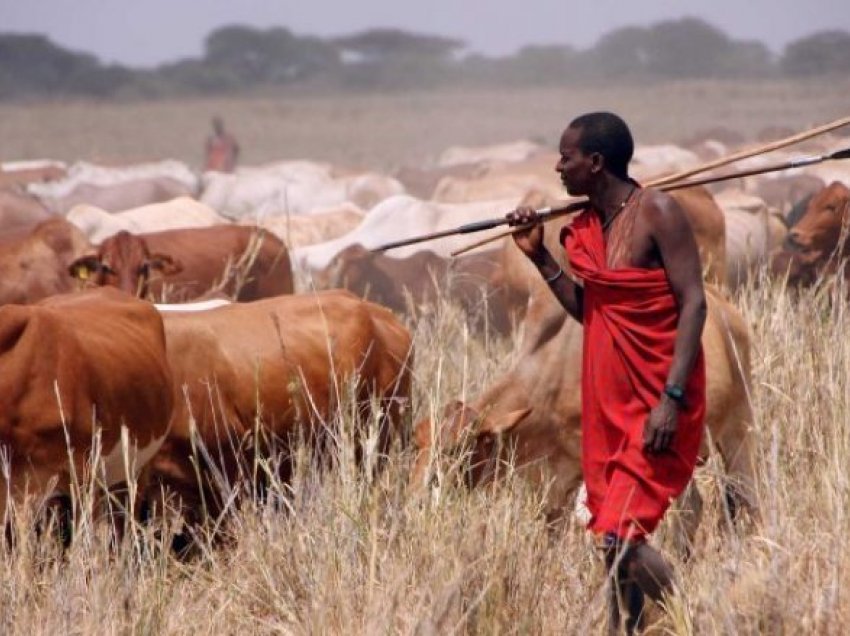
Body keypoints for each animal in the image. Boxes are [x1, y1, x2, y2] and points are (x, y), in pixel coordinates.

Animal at [410, 286, 756, 544]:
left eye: (456, 449)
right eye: (418, 443)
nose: (418, 497)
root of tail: (726, 312)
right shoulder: (559, 480)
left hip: (734, 433)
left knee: (727, 501)